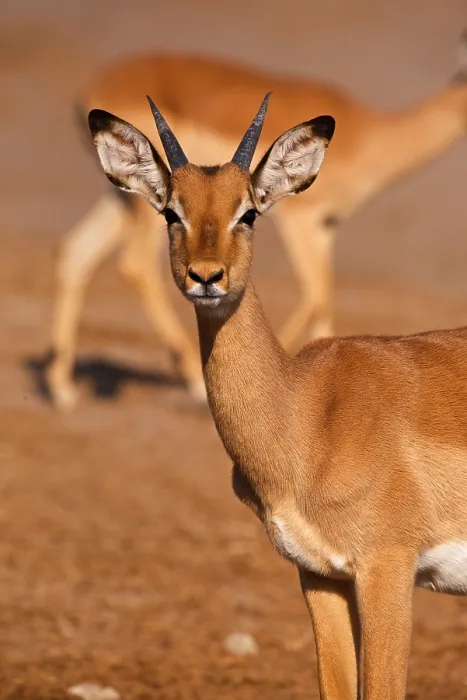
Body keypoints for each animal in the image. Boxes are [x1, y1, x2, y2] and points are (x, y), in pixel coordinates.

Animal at [47, 32, 467, 410]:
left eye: (248, 214)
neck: (370, 135)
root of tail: (94, 86)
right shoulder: (301, 220)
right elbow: (315, 295)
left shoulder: (326, 227)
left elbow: (324, 299)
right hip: (142, 206)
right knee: (134, 264)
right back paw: (191, 381)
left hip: (123, 196)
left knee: (76, 251)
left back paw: (61, 387)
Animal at [87, 91, 467, 700]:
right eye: (171, 211)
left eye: (248, 212)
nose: (206, 276)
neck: (305, 413)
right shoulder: (318, 574)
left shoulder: (387, 568)